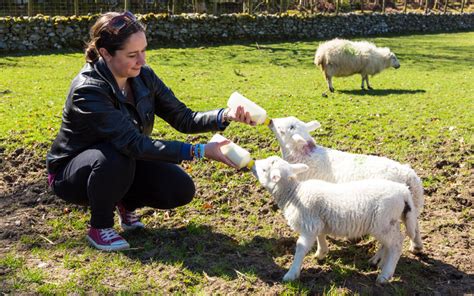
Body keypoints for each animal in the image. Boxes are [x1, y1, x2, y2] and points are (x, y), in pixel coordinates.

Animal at [254, 156, 416, 284]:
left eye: (264, 170)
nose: (253, 163)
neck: (294, 194)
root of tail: (404, 191)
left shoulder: (309, 225)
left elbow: (300, 247)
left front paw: (291, 274)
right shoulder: (317, 222)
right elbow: (321, 236)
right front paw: (321, 253)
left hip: (383, 223)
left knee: (396, 244)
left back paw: (385, 275)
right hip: (389, 223)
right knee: (390, 243)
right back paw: (381, 262)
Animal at [268, 117, 424, 253]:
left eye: (285, 129)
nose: (270, 121)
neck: (305, 157)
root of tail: (408, 175)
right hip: (413, 205)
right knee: (414, 225)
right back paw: (416, 246)